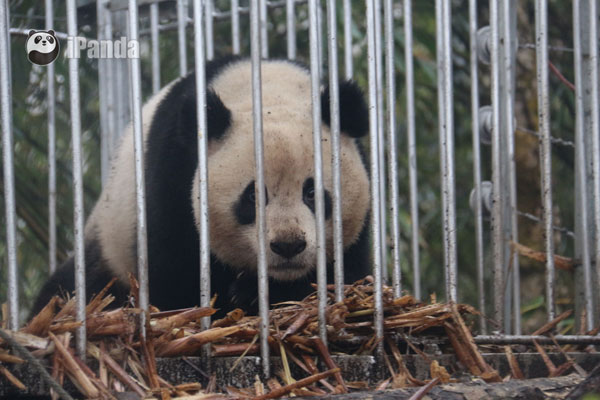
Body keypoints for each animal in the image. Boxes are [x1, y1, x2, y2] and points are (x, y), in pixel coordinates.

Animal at [32, 57, 372, 318]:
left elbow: (348, 271)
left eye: (312, 192)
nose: (288, 246)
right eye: (252, 196)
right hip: (108, 244)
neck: (267, 95)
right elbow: (174, 269)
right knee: (73, 287)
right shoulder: (174, 173)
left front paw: (257, 293)